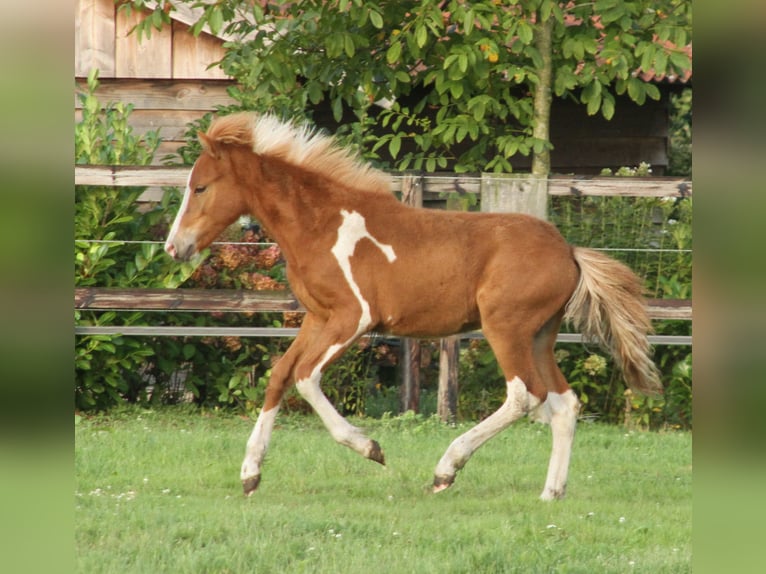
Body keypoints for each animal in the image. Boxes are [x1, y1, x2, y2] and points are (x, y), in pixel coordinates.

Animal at [165, 111, 664, 500]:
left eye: (201, 187)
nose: (174, 247)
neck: (321, 224)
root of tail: (569, 252)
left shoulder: (352, 318)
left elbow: (306, 378)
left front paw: (370, 448)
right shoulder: (318, 318)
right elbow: (280, 375)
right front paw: (250, 474)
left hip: (506, 327)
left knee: (525, 395)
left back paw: (446, 469)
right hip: (541, 334)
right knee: (564, 403)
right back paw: (550, 493)